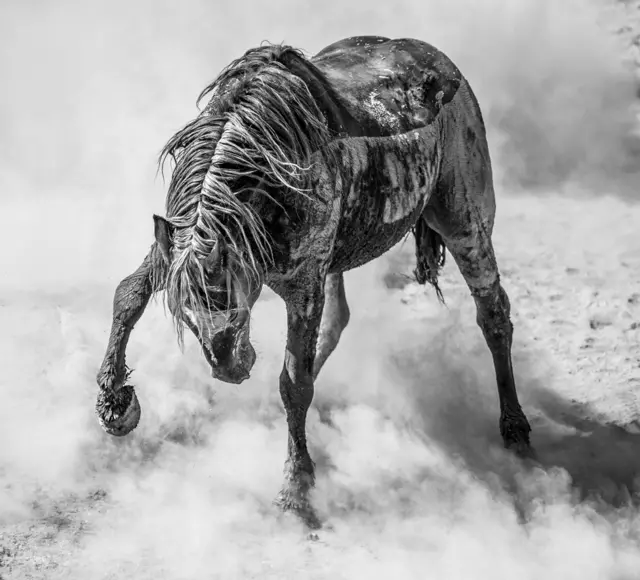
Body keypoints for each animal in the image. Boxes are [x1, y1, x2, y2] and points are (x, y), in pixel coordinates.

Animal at [95, 36, 533, 530]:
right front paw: (115, 405)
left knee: (494, 315)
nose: (229, 368)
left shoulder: (304, 287)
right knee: (337, 324)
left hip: (465, 225)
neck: (265, 164)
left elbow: (294, 383)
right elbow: (128, 295)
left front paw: (295, 492)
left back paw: (515, 428)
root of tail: (443, 65)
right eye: (186, 314)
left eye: (230, 297)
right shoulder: (173, 247)